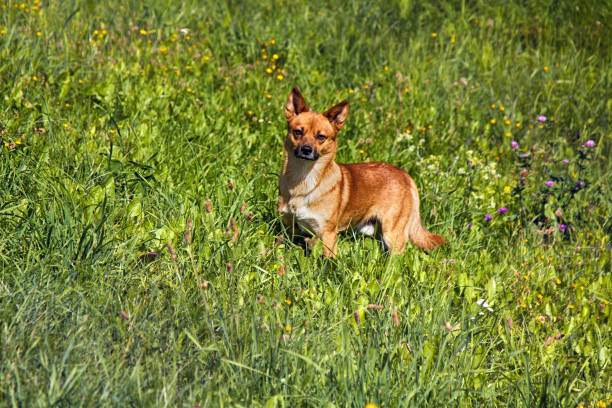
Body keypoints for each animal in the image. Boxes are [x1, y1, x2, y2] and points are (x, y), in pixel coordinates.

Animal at [278, 87, 444, 256]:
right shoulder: (288, 227)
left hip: (392, 234)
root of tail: (404, 174)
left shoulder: (327, 234)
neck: (303, 179)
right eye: (298, 132)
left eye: (321, 137)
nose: (306, 149)